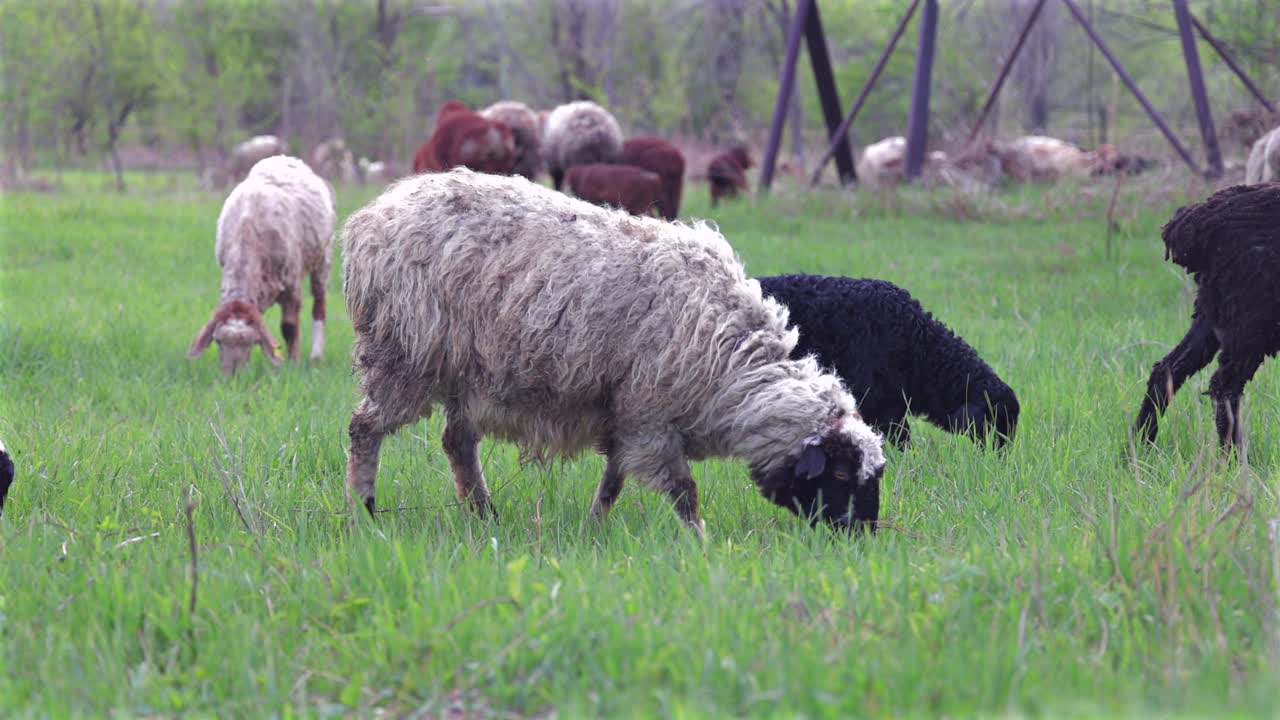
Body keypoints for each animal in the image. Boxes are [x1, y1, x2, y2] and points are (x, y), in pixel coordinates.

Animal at [189, 155, 337, 374]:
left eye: (251, 342)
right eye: (218, 342)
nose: (233, 377)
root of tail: (286, 157)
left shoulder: (292, 283)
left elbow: (289, 327)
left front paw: (293, 365)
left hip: (324, 256)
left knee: (319, 304)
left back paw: (316, 356)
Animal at [341, 169, 887, 534]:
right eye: (841, 472)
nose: (861, 535)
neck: (730, 366)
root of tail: (369, 217)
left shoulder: (626, 416)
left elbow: (613, 482)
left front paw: (595, 528)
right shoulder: (650, 416)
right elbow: (684, 492)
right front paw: (701, 543)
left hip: (465, 374)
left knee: (456, 444)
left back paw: (484, 515)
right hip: (404, 355)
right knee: (364, 429)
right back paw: (364, 510)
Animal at [1133, 183, 1280, 450]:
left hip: (1211, 313)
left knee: (1167, 369)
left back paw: (1139, 447)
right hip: (1250, 321)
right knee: (1224, 388)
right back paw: (1236, 457)